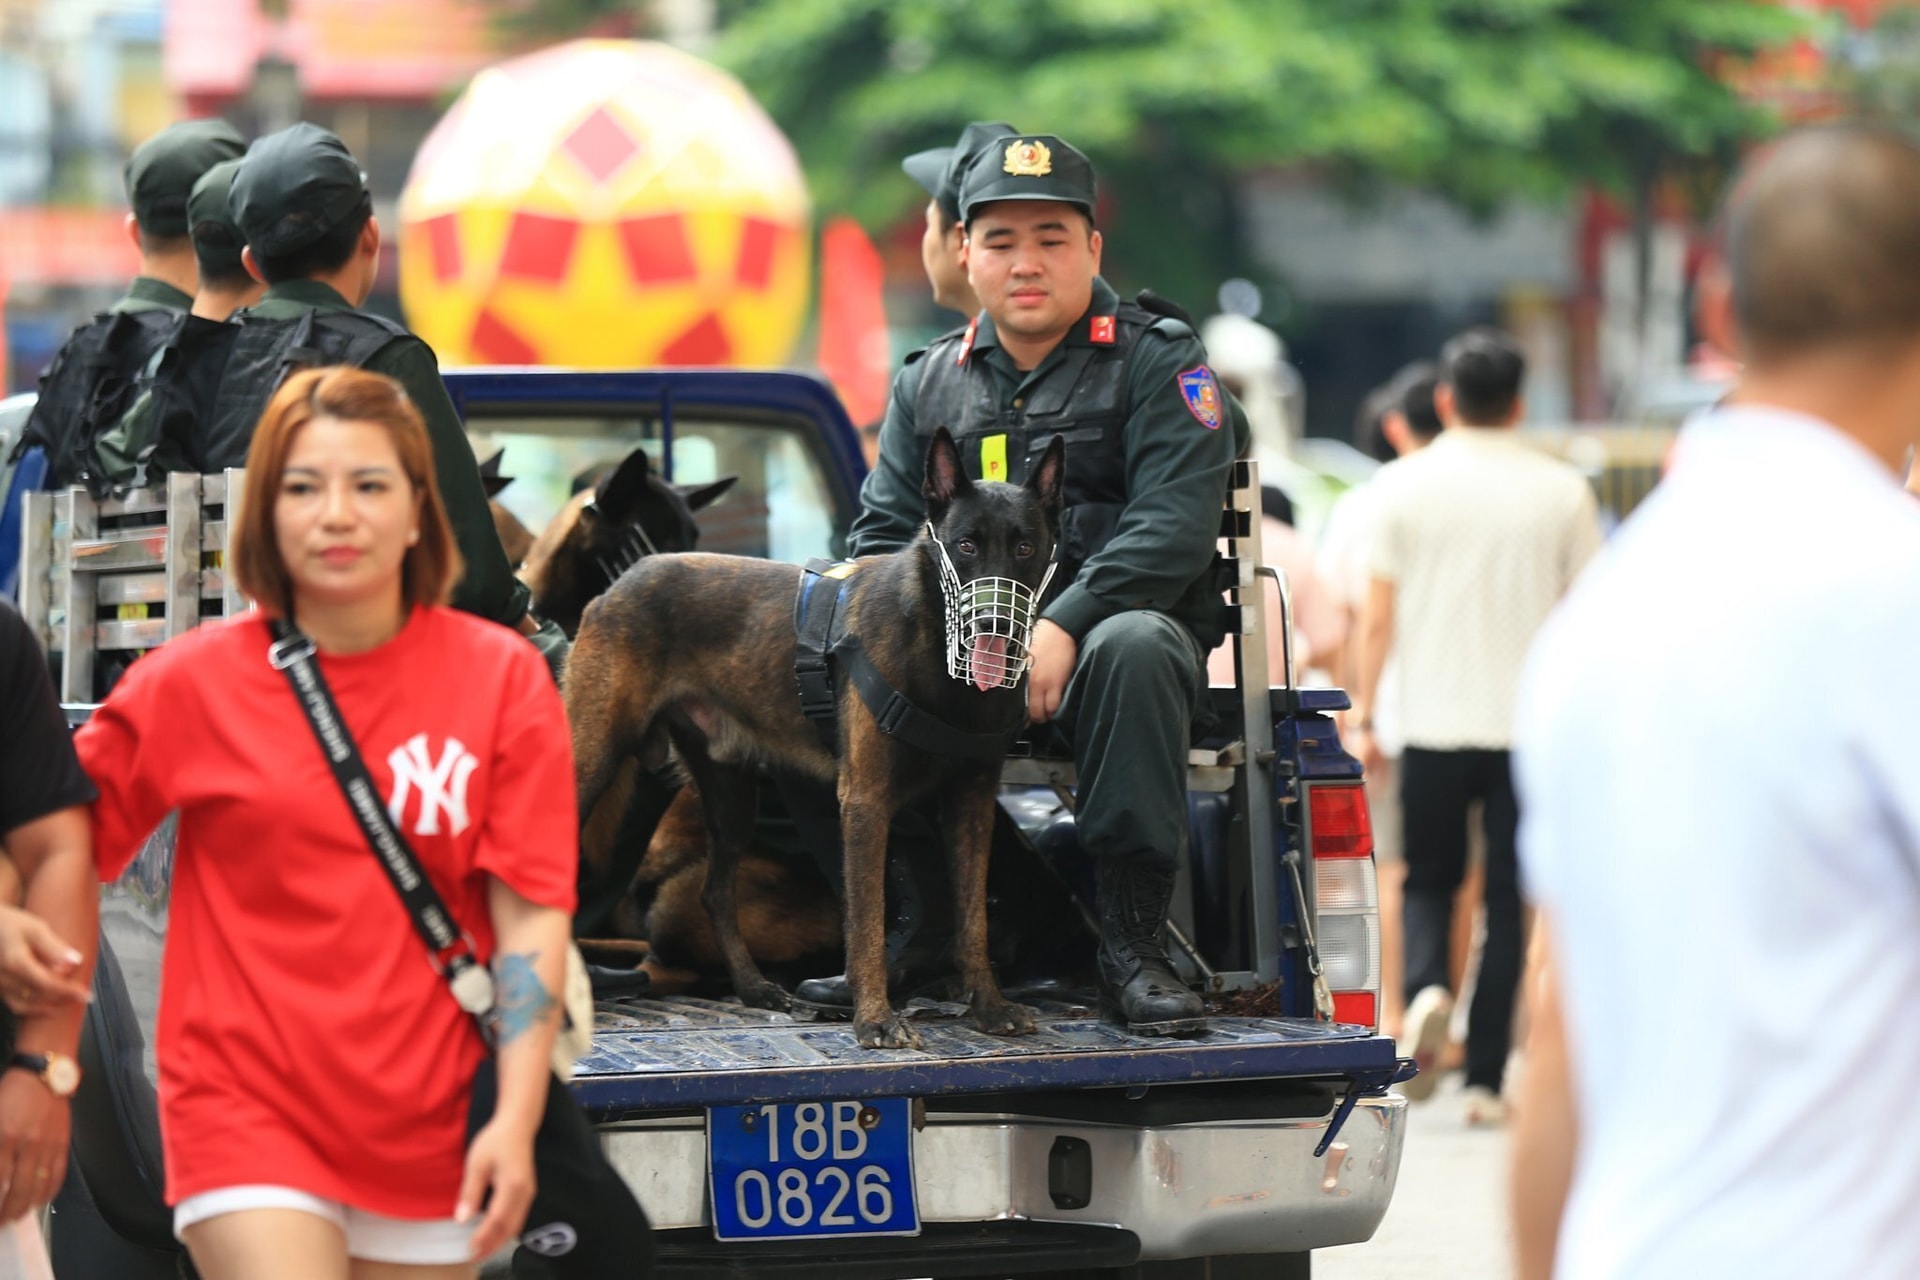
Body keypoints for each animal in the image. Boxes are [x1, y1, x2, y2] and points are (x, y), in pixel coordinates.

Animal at [560, 429, 1075, 1051]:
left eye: (1024, 548)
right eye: (966, 546)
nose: (994, 625)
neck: (933, 648)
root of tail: (619, 584)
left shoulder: (971, 805)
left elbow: (972, 917)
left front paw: (990, 1008)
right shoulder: (866, 802)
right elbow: (868, 918)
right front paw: (875, 1018)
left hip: (731, 794)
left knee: (714, 892)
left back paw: (755, 989)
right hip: (593, 760)